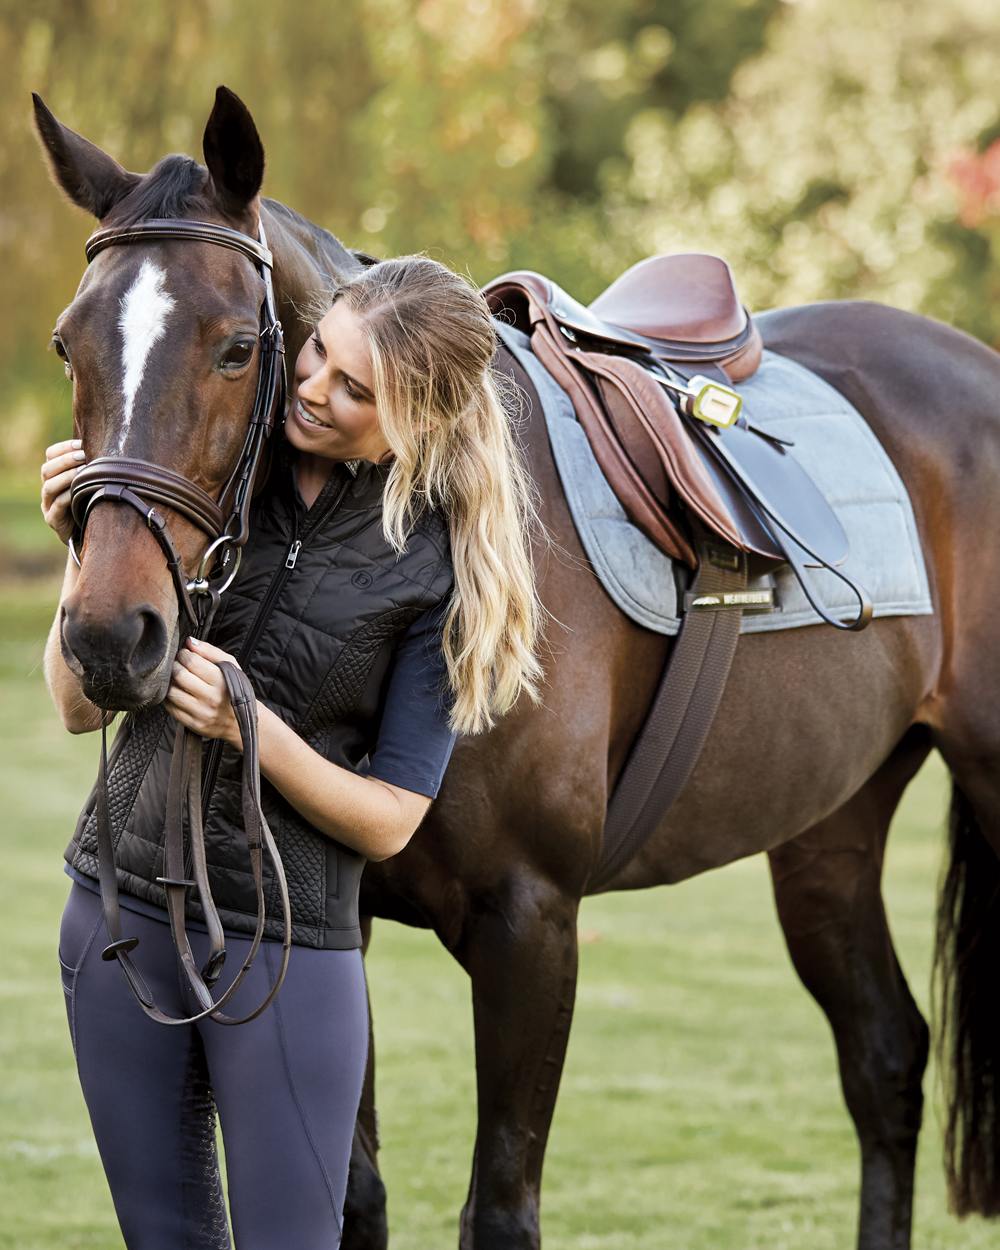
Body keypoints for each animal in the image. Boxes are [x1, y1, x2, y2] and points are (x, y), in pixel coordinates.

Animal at [31, 88, 1000, 1250]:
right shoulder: (336, 921)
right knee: (884, 1058)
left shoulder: (531, 923)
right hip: (828, 824)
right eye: (67, 344)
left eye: (232, 347)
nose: (107, 636)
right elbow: (352, 1196)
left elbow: (499, 1208)